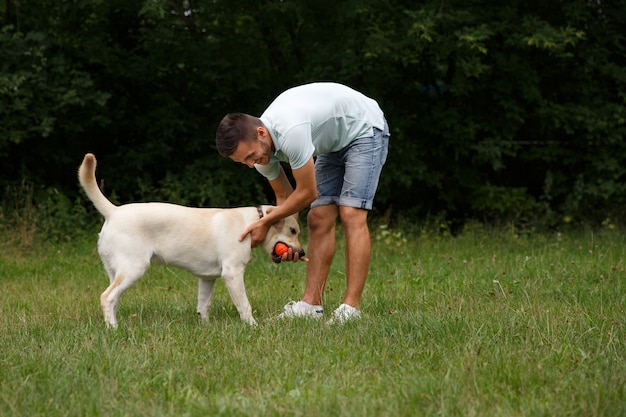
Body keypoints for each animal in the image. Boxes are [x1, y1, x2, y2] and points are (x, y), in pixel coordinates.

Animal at [79, 153, 304, 324]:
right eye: (293, 231)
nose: (302, 252)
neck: (251, 223)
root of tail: (113, 211)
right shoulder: (233, 273)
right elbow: (244, 306)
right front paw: (253, 326)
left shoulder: (207, 279)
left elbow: (203, 306)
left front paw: (205, 327)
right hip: (133, 268)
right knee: (107, 297)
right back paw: (114, 329)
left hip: (117, 271)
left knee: (113, 298)